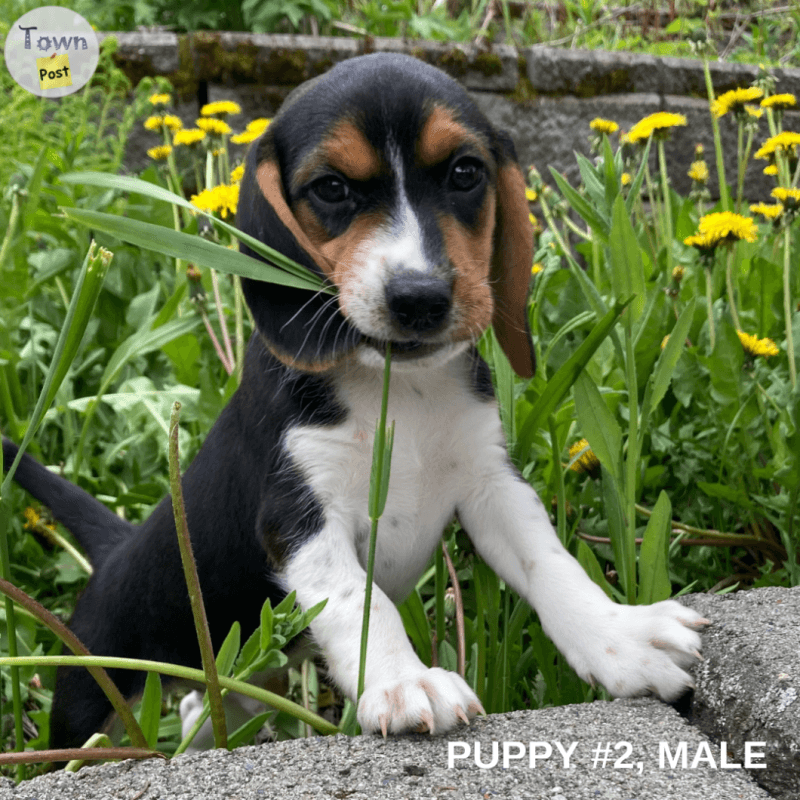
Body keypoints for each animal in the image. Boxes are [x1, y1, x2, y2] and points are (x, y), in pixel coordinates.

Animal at [4, 54, 708, 752]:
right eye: (332, 188)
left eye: (465, 173)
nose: (420, 296)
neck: (400, 388)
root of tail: (117, 547)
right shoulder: (300, 519)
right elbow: (358, 602)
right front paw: (403, 681)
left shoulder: (492, 486)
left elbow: (552, 564)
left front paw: (619, 636)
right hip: (92, 695)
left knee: (204, 706)